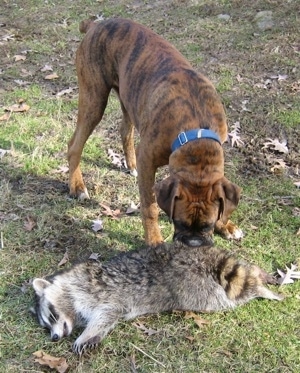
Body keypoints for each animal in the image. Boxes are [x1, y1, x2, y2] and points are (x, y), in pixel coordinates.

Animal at [31, 241, 282, 352]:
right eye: (46, 325)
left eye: (51, 316)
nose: (54, 338)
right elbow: (108, 319)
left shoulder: (94, 292)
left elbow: (106, 314)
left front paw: (86, 335)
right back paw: (258, 272)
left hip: (205, 289)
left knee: (239, 291)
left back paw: (260, 286)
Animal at [67, 17, 243, 246]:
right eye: (178, 222)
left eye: (208, 225)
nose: (193, 243)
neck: (196, 131)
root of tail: (96, 24)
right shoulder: (148, 161)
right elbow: (150, 206)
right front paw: (154, 240)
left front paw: (226, 225)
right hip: (94, 100)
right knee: (74, 145)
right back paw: (77, 187)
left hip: (129, 98)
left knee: (125, 130)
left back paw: (130, 165)